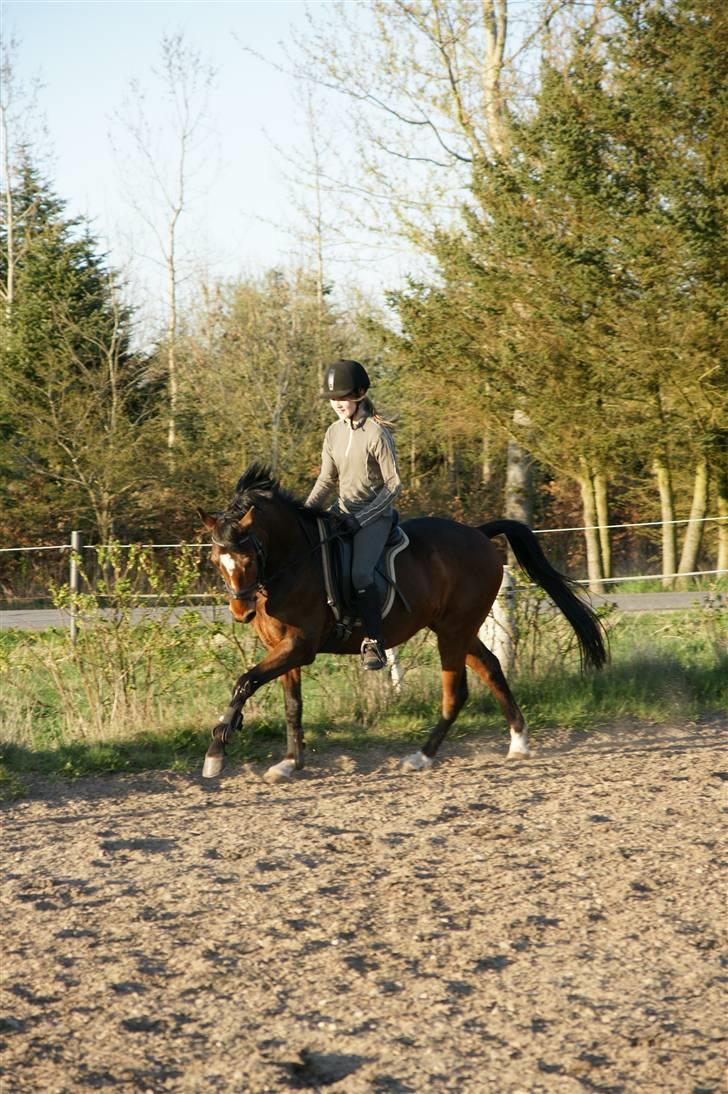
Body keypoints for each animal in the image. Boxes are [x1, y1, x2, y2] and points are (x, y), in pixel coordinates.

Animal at [197, 463, 607, 781]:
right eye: (218, 560)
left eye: (249, 556)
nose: (241, 611)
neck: (294, 563)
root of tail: (478, 533)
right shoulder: (282, 649)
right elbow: (292, 705)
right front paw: (288, 763)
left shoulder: (299, 646)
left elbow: (244, 681)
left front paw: (216, 752)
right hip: (455, 629)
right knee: (491, 669)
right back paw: (519, 742)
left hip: (454, 631)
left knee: (457, 692)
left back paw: (422, 757)